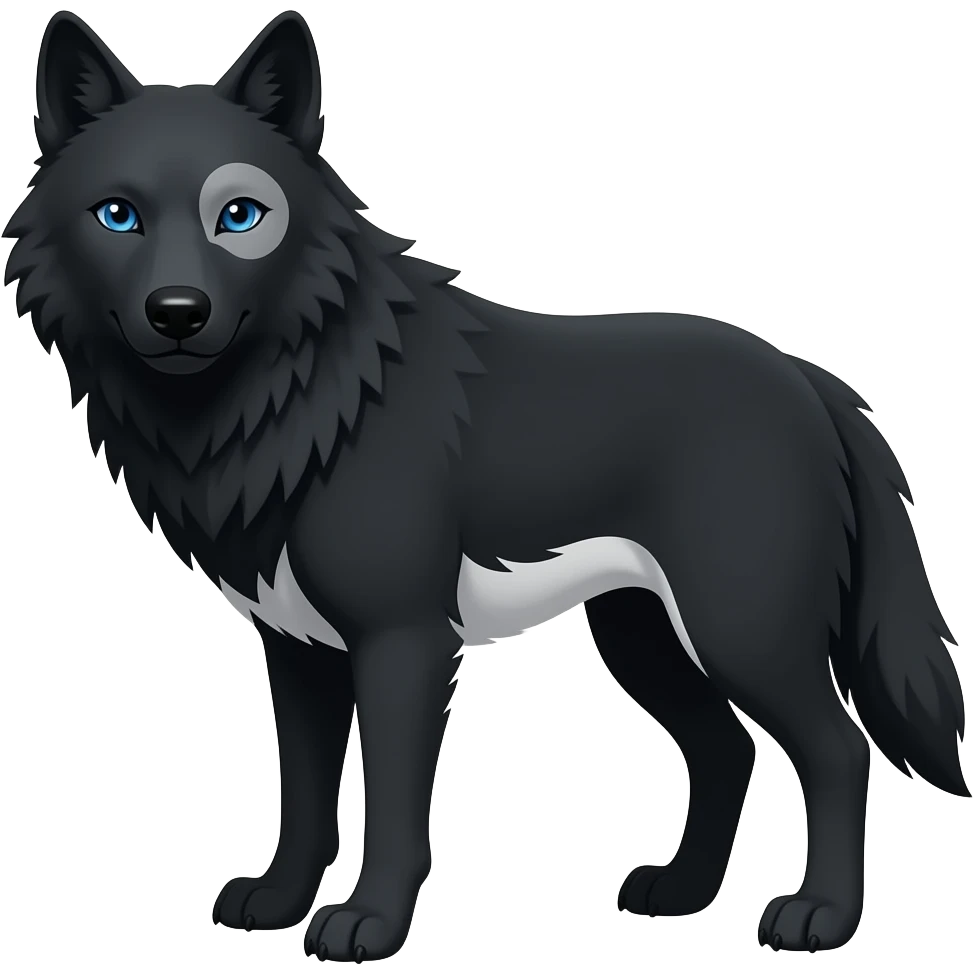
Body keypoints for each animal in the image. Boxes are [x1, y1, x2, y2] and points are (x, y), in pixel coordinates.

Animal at [4, 8, 969, 963]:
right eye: (118, 215)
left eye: (240, 216)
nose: (177, 314)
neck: (302, 398)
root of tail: (811, 380)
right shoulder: (297, 649)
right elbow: (307, 795)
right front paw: (278, 901)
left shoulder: (404, 642)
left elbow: (393, 806)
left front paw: (367, 925)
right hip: (643, 638)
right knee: (730, 751)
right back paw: (680, 894)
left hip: (741, 631)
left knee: (838, 751)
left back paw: (820, 918)